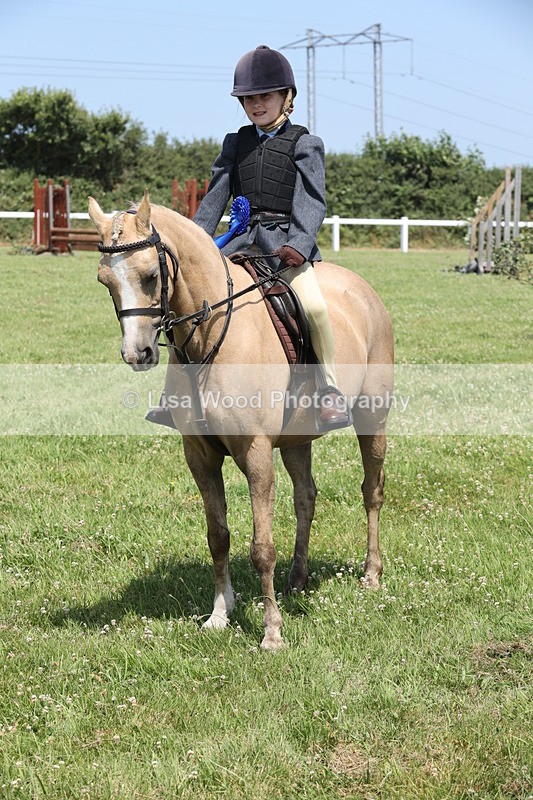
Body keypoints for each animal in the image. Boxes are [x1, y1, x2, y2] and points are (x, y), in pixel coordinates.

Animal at [88, 191, 394, 650]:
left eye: (149, 276)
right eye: (106, 282)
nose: (136, 354)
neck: (209, 337)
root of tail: (364, 289)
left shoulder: (256, 452)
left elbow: (261, 546)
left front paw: (271, 632)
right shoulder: (200, 456)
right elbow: (218, 537)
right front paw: (220, 614)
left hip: (372, 417)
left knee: (371, 492)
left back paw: (371, 574)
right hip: (298, 437)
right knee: (305, 497)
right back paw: (297, 580)